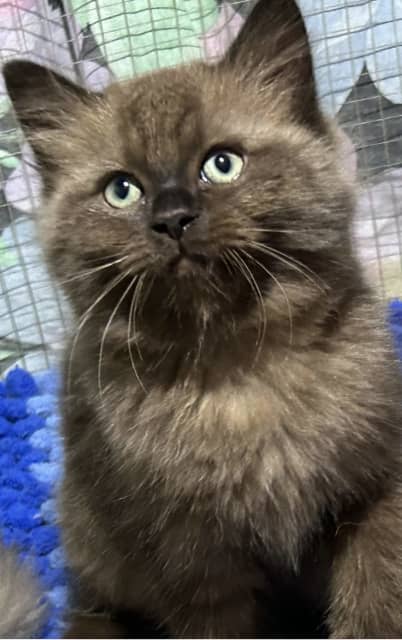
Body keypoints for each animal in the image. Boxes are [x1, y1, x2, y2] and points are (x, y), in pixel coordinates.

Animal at [3, 0, 402, 636]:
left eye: (222, 164)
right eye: (122, 191)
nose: (173, 218)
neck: (239, 371)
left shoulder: (375, 496)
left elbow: (375, 605)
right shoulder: (194, 561)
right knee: (92, 606)